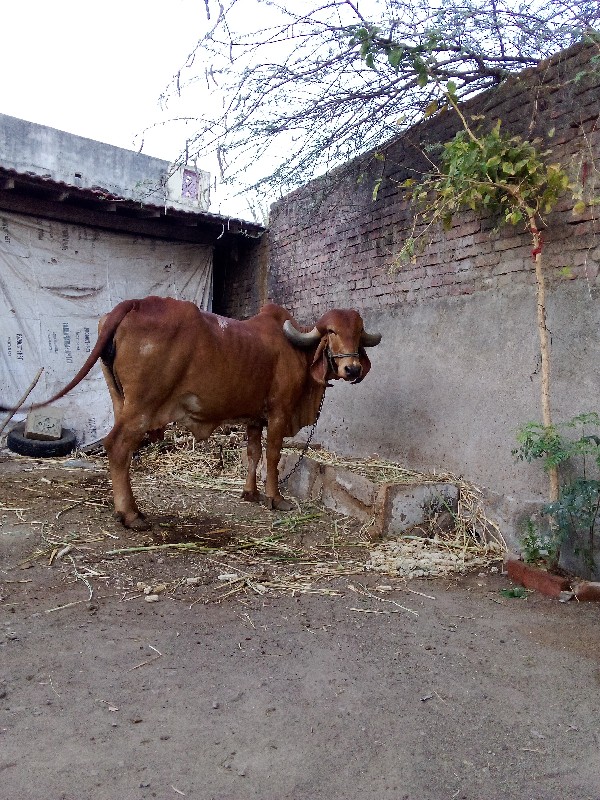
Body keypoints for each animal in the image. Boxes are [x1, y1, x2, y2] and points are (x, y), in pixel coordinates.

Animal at [28, 296, 382, 528]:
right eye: (332, 332)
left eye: (358, 332)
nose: (351, 369)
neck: (298, 350)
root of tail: (135, 303)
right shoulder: (279, 412)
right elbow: (272, 457)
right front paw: (275, 499)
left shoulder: (254, 418)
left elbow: (253, 454)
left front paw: (250, 493)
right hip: (141, 407)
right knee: (117, 447)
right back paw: (131, 515)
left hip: (120, 401)